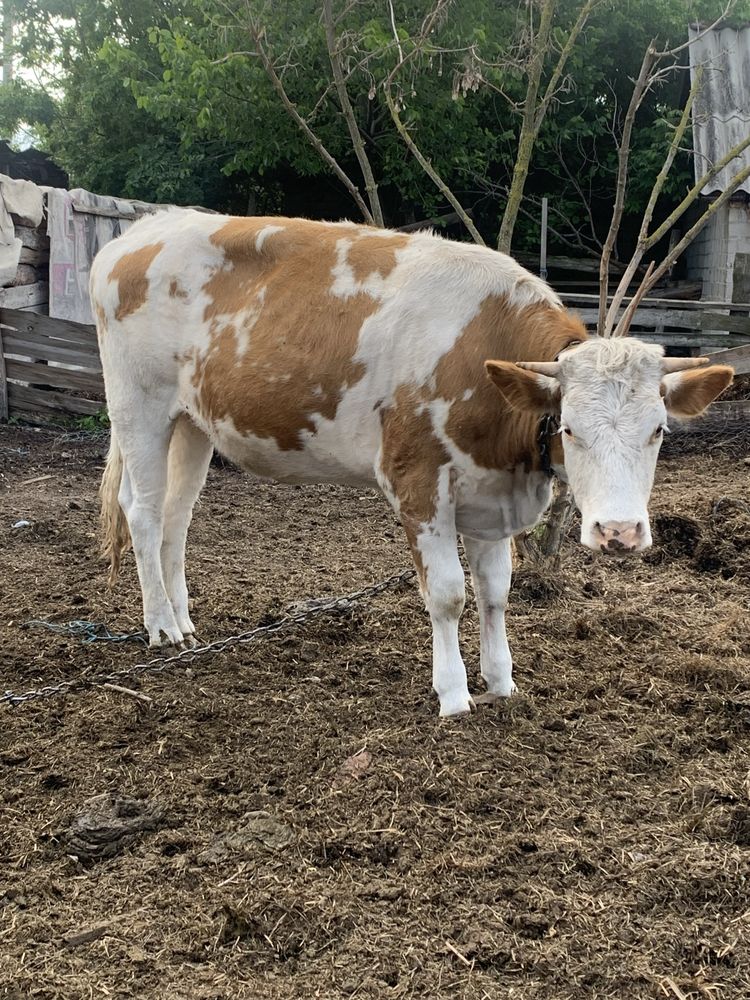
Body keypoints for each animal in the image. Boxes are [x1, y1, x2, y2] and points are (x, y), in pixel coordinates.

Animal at [92, 211, 736, 716]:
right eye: (570, 429)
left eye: (658, 430)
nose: (619, 532)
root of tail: (144, 229)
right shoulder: (417, 481)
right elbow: (449, 593)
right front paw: (453, 694)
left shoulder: (491, 493)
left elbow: (495, 591)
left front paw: (501, 682)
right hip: (139, 405)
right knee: (143, 513)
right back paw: (160, 625)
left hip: (193, 423)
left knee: (176, 518)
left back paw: (184, 621)